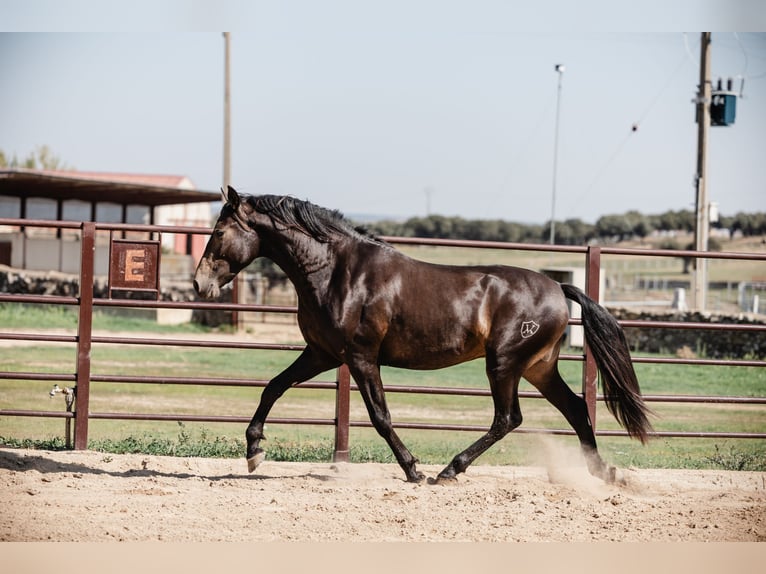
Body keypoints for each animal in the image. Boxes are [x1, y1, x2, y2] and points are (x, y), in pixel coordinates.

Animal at [194, 189, 656, 486]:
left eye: (217, 233)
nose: (200, 285)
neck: (337, 271)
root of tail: (559, 287)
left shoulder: (360, 357)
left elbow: (381, 417)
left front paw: (413, 469)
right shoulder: (322, 353)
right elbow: (273, 387)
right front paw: (254, 452)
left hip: (504, 364)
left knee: (508, 419)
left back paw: (449, 470)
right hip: (538, 368)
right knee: (575, 410)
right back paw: (603, 473)